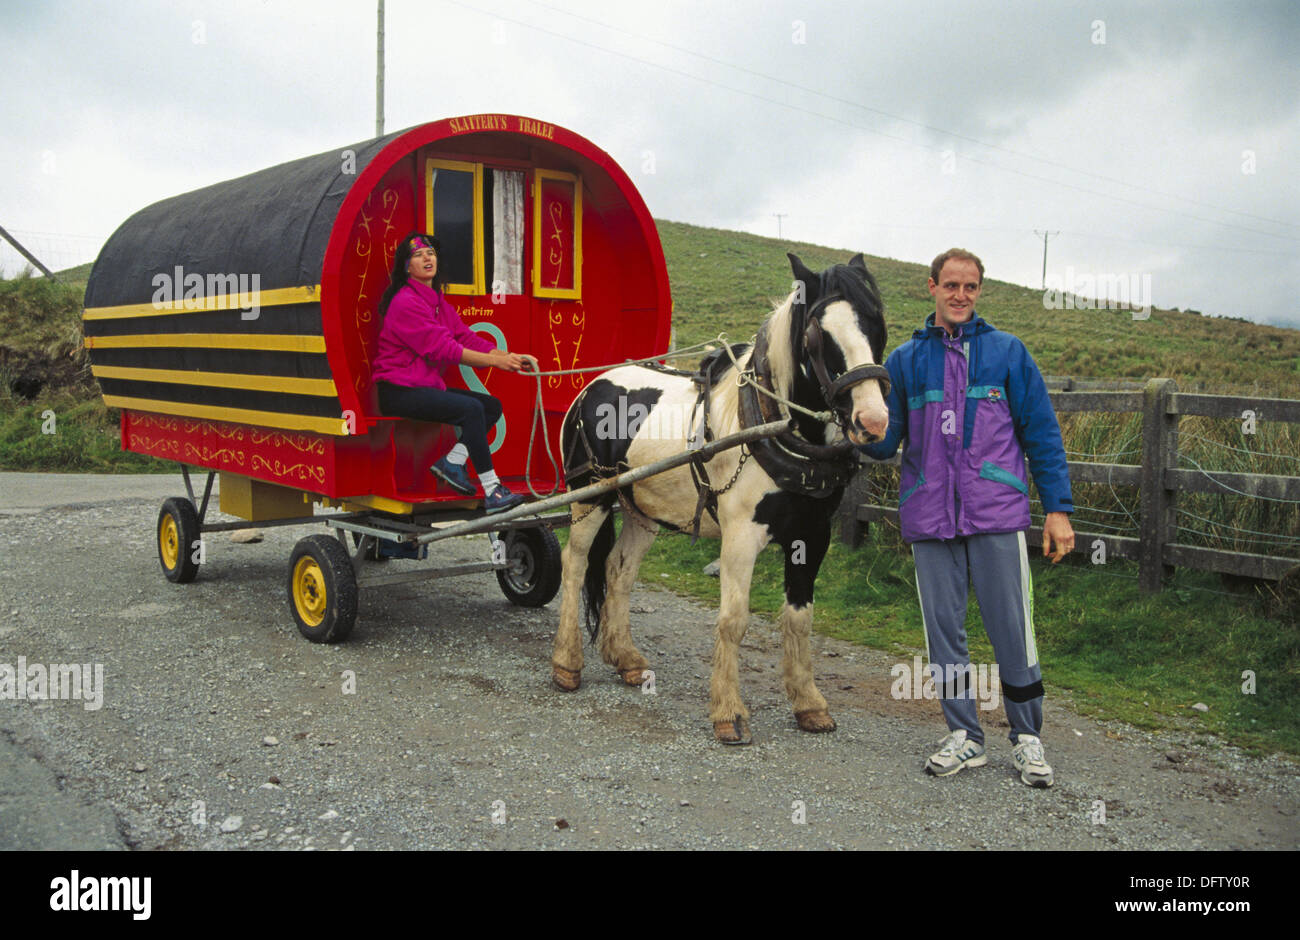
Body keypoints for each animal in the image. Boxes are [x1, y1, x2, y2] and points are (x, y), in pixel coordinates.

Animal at [553, 253, 889, 748]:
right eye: (816, 334)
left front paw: (809, 703)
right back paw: (566, 663)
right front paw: (728, 712)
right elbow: (733, 620)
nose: (873, 420)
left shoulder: (813, 536)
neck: (769, 424)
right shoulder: (741, 537)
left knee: (619, 570)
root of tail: (593, 385)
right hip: (590, 495)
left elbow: (799, 620)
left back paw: (626, 657)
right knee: (575, 564)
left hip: (642, 509)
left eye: (876, 325)